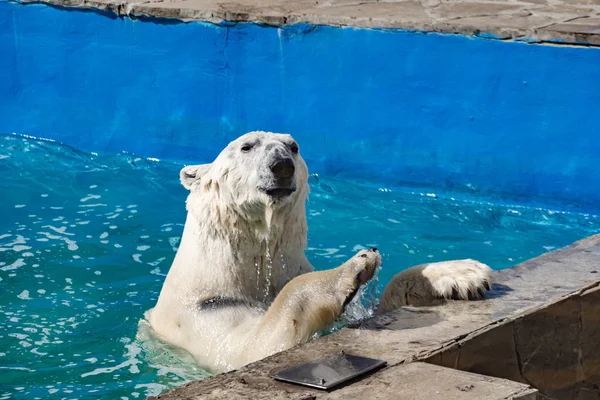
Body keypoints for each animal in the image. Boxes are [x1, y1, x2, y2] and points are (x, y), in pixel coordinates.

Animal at [146, 133, 492, 374]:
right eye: (246, 146)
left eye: (293, 146)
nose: (282, 165)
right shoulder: (203, 311)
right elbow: (255, 344)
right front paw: (353, 267)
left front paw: (463, 274)